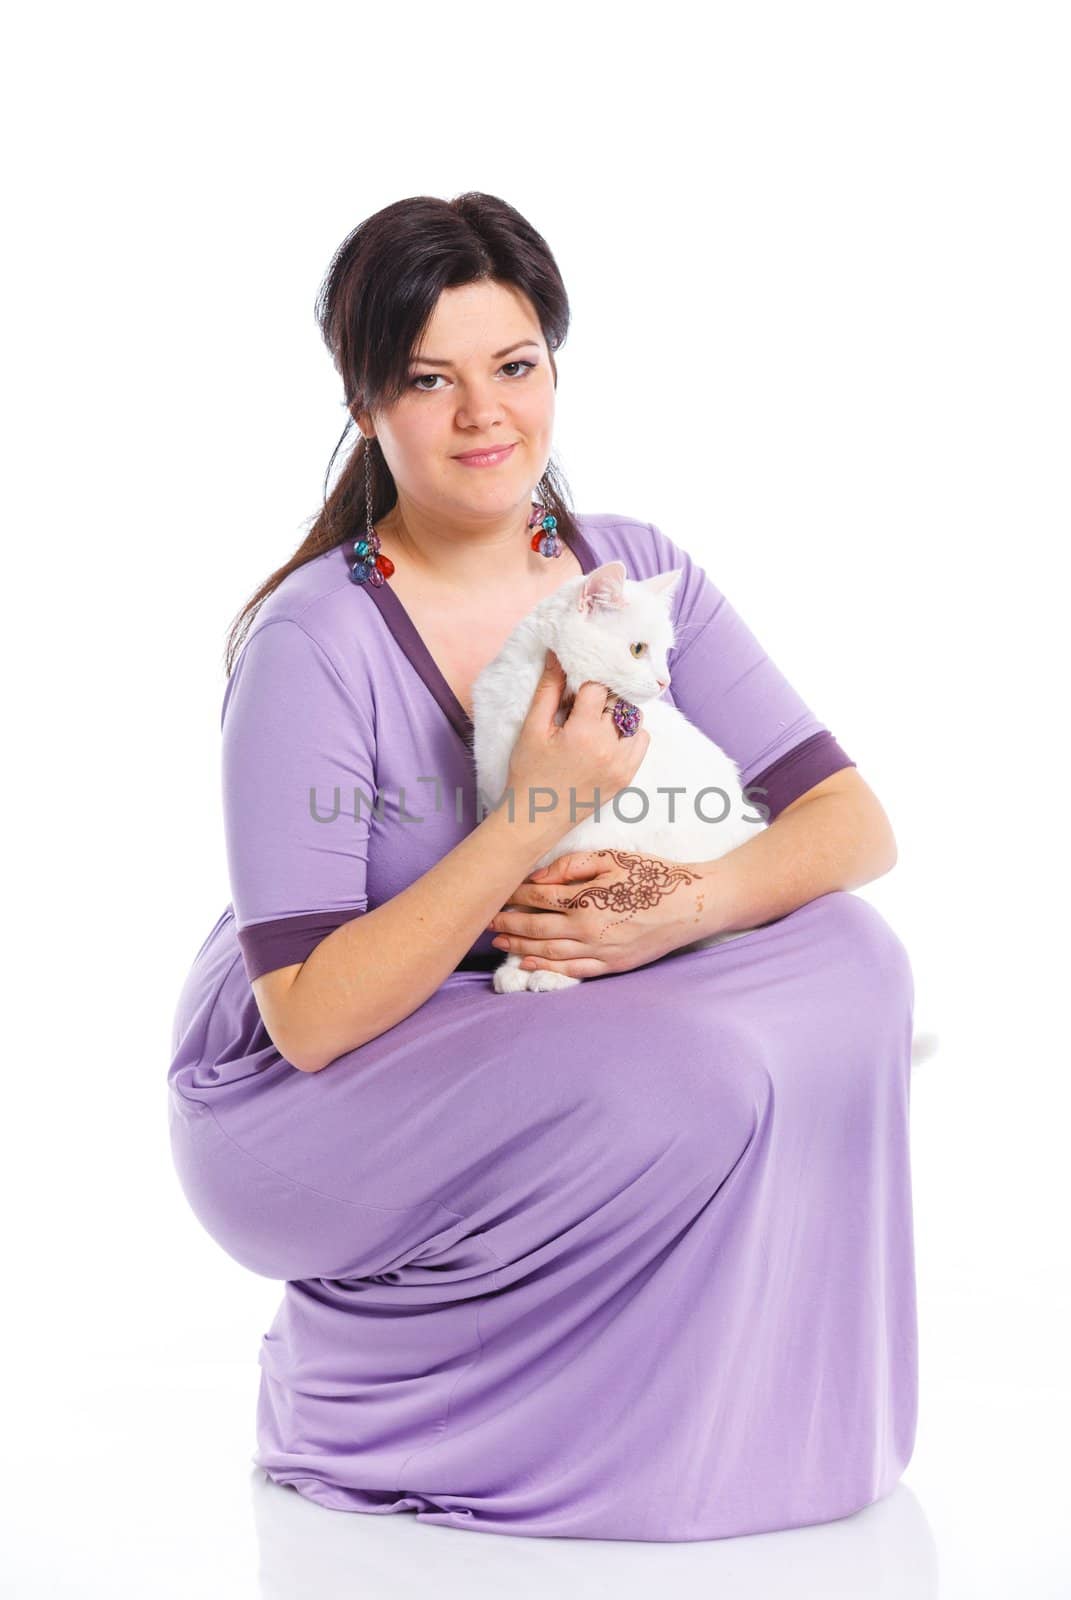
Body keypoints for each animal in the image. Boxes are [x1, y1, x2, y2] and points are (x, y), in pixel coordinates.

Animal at [470, 560, 758, 985]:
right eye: (638, 649)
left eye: (665, 653)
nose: (665, 681)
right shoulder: (517, 832)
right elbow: (526, 911)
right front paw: (516, 967)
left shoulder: (591, 838)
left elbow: (561, 910)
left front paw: (551, 972)